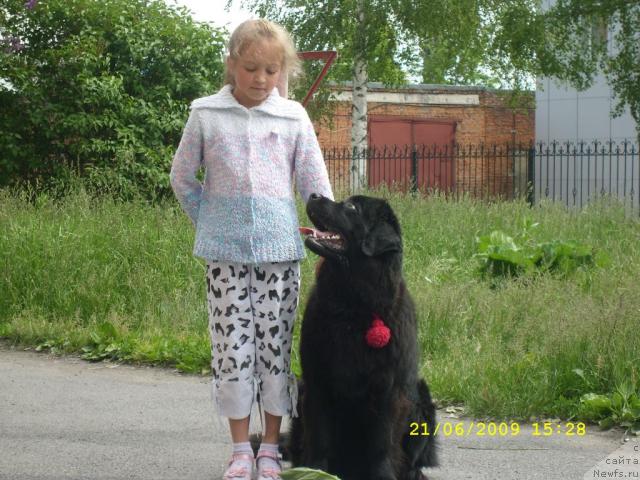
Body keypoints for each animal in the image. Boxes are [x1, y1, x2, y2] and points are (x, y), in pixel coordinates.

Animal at [292, 193, 438, 480]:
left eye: (351, 207)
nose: (314, 195)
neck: (351, 306)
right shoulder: (316, 381)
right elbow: (319, 436)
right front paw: (314, 470)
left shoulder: (389, 389)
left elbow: (382, 443)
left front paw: (383, 475)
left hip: (421, 400)